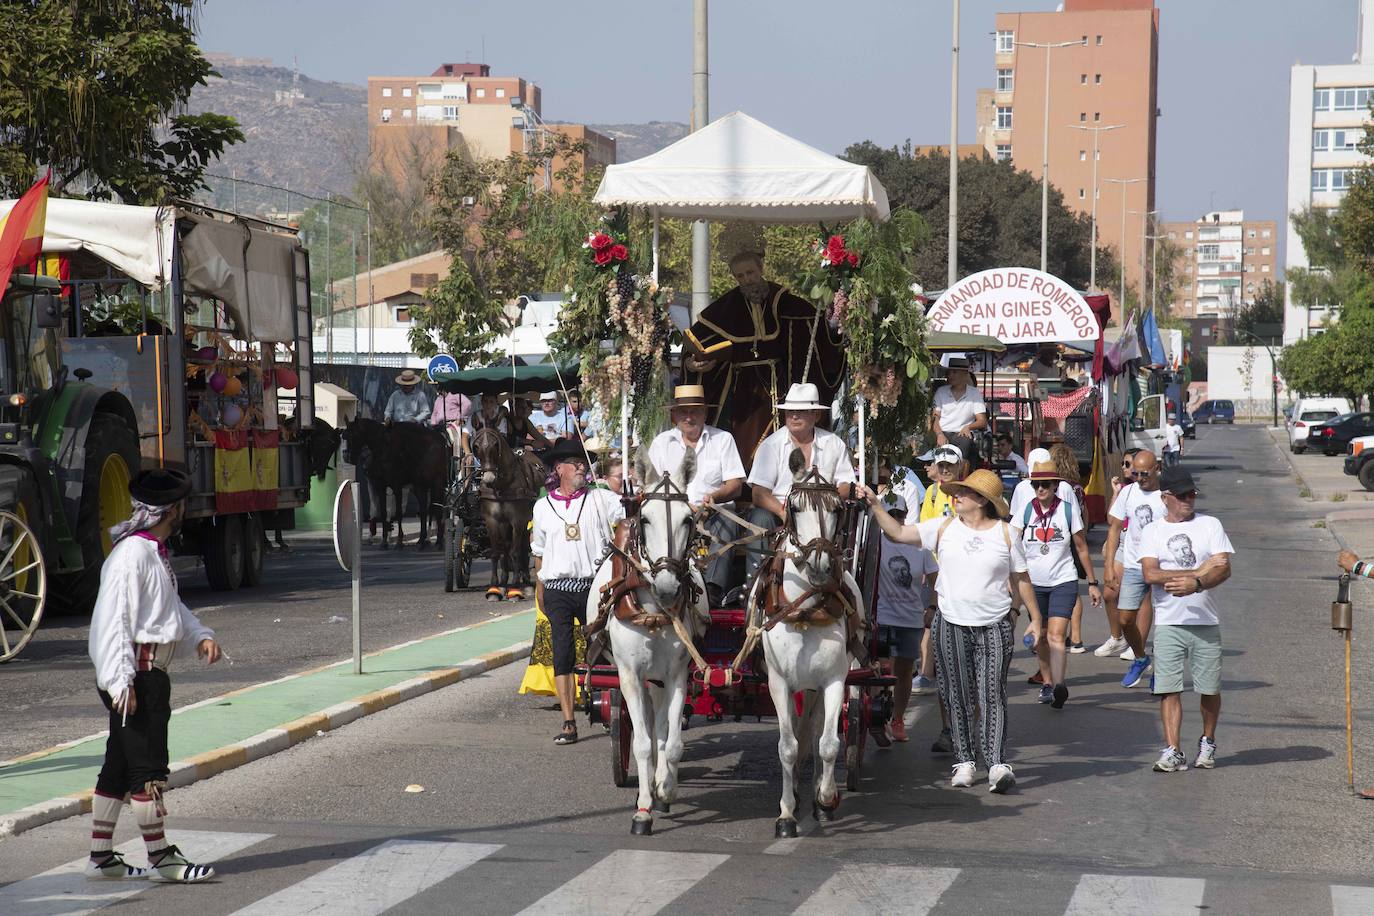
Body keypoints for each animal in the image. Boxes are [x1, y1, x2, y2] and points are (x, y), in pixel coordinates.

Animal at [469, 428, 538, 601]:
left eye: (495, 445)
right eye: (476, 447)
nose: (488, 477)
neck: (501, 486)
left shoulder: (518, 520)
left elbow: (516, 552)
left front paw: (515, 589)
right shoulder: (491, 520)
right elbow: (496, 552)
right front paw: (495, 588)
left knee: (522, 548)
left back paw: (525, 583)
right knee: (505, 548)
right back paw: (504, 582)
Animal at [588, 450, 708, 840]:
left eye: (688, 519)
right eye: (644, 518)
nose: (668, 587)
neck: (655, 612)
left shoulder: (677, 675)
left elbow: (672, 742)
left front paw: (665, 789)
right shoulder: (629, 676)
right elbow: (641, 743)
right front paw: (642, 810)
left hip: (659, 679)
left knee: (661, 729)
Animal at [752, 450, 857, 840]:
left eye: (838, 508)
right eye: (795, 508)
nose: (820, 566)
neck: (806, 609)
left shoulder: (834, 680)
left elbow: (827, 743)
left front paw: (825, 798)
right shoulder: (779, 683)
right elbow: (787, 747)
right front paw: (785, 814)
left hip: (815, 685)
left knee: (812, 731)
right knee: (799, 735)